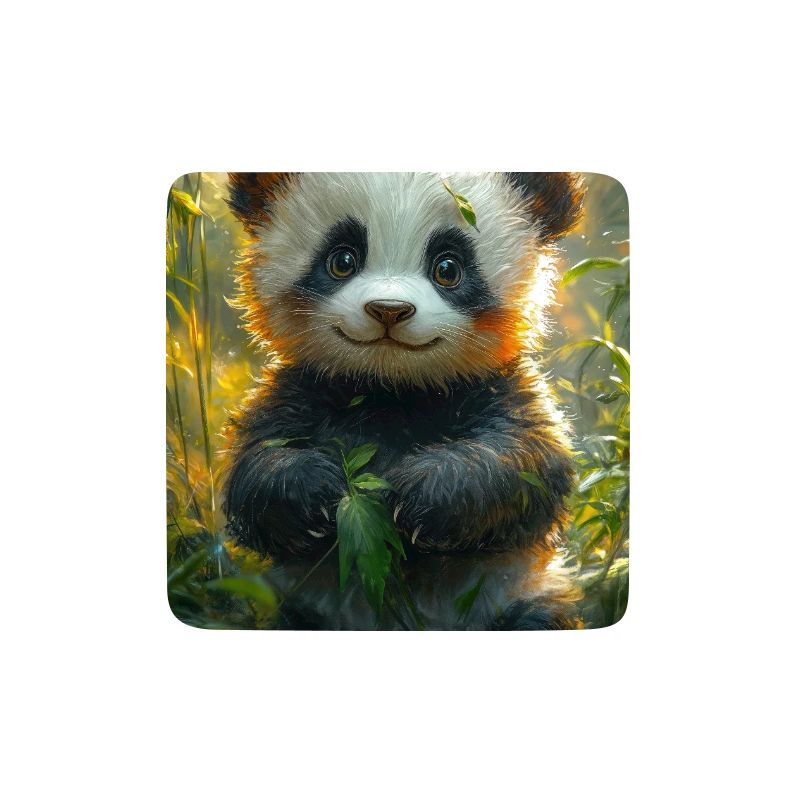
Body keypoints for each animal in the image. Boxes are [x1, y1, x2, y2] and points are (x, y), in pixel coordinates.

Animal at [223, 172, 585, 630]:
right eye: (342, 260)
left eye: (448, 268)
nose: (389, 310)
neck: (392, 389)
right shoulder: (299, 390)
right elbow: (252, 466)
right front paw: (316, 491)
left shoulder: (498, 389)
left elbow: (527, 460)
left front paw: (422, 496)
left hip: (514, 596)